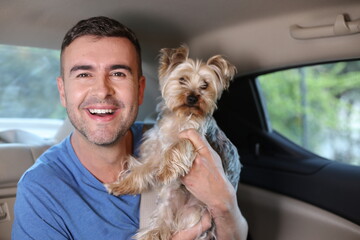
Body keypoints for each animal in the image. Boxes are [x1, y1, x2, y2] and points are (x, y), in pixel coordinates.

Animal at [107, 45, 242, 240]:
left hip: (196, 214)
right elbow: (140, 169)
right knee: (164, 219)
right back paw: (151, 234)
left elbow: (178, 144)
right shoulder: (156, 149)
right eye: (182, 79)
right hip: (170, 198)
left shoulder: (195, 136)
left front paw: (166, 171)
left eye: (205, 85)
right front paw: (120, 185)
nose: (193, 98)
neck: (180, 116)